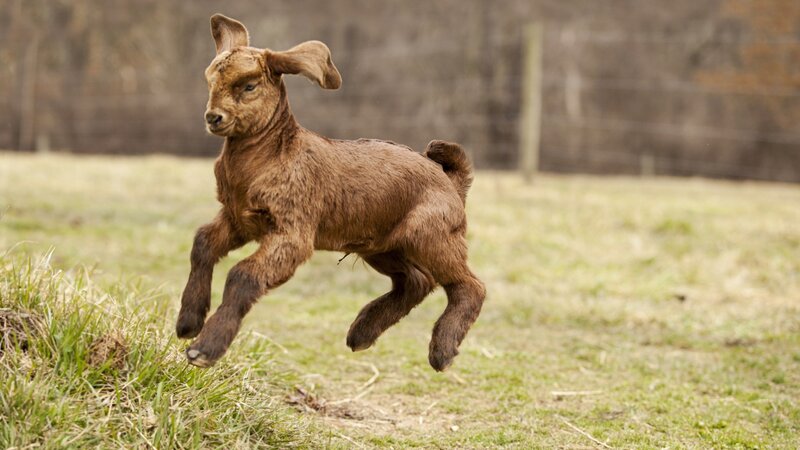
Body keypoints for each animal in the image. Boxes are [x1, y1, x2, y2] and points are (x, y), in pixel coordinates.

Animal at [176, 14, 486, 371]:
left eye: (249, 86)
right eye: (210, 81)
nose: (213, 117)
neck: (272, 155)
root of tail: (452, 182)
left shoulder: (292, 231)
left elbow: (244, 275)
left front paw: (203, 349)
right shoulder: (238, 219)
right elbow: (203, 243)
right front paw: (187, 323)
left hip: (432, 236)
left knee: (469, 286)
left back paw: (442, 352)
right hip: (383, 244)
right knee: (416, 281)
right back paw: (362, 333)